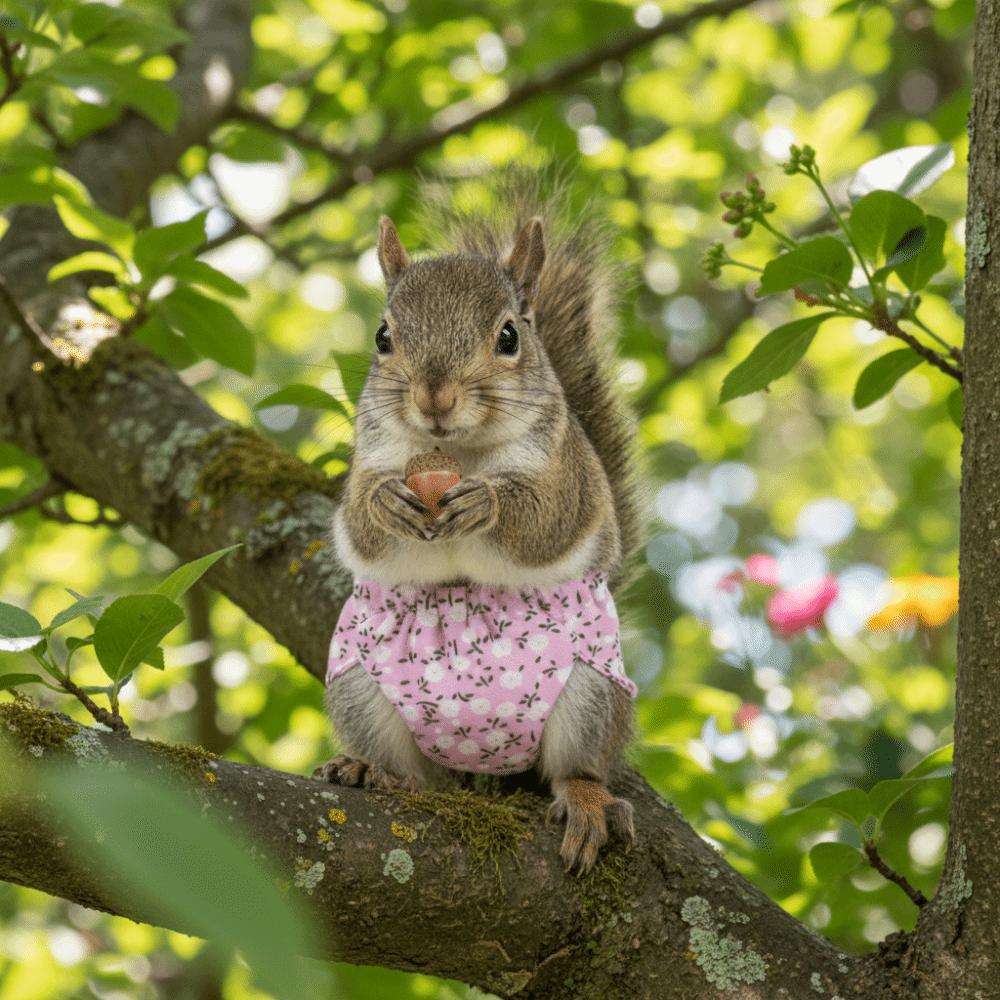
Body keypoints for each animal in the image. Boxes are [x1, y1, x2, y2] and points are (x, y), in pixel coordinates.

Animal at [315, 175, 642, 874]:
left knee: (577, 767)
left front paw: (486, 504)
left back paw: (587, 802)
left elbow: (543, 521)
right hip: (358, 688)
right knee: (413, 773)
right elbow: (359, 524)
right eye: (383, 336)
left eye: (510, 337)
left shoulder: (565, 475)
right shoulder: (367, 461)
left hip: (589, 694)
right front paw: (387, 504)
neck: (455, 452)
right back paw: (371, 771)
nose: (434, 396)